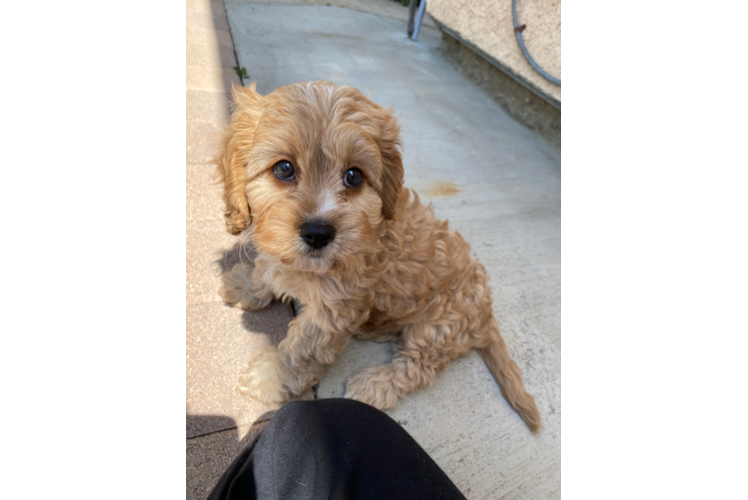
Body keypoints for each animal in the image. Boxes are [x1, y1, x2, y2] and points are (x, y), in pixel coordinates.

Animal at [213, 80, 540, 432]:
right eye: (284, 168)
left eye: (354, 176)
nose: (318, 233)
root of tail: (486, 310)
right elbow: (266, 270)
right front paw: (246, 284)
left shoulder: (333, 308)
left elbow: (302, 350)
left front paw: (271, 377)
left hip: (439, 326)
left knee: (419, 365)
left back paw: (377, 384)